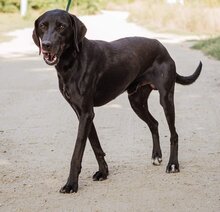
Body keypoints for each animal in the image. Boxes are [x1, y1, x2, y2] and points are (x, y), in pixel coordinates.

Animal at [31, 9, 202, 193]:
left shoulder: (86, 114)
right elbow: (95, 145)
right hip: (136, 102)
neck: (72, 61)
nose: (46, 45)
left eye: (62, 26)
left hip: (166, 99)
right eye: (43, 26)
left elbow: (77, 152)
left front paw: (71, 184)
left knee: (174, 134)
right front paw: (103, 172)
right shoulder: (83, 113)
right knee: (154, 123)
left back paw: (173, 165)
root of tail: (162, 47)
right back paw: (156, 156)